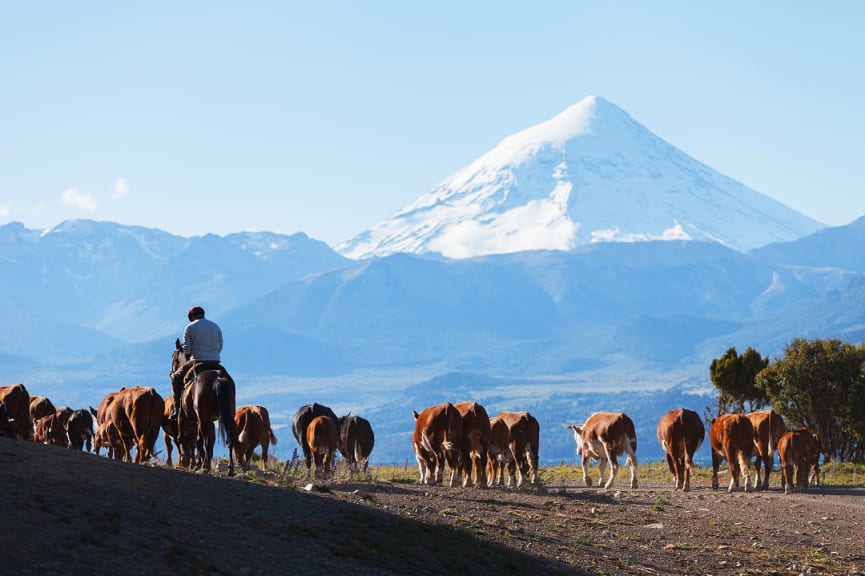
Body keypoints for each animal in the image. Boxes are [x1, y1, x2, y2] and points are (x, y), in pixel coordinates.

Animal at [170, 340, 236, 474]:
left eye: (173, 356)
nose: (171, 372)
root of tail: (217, 379)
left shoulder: (183, 417)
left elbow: (183, 437)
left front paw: (186, 461)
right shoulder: (208, 421)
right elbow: (204, 442)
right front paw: (198, 463)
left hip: (202, 419)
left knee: (204, 441)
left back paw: (205, 466)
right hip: (226, 416)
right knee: (228, 439)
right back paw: (229, 468)